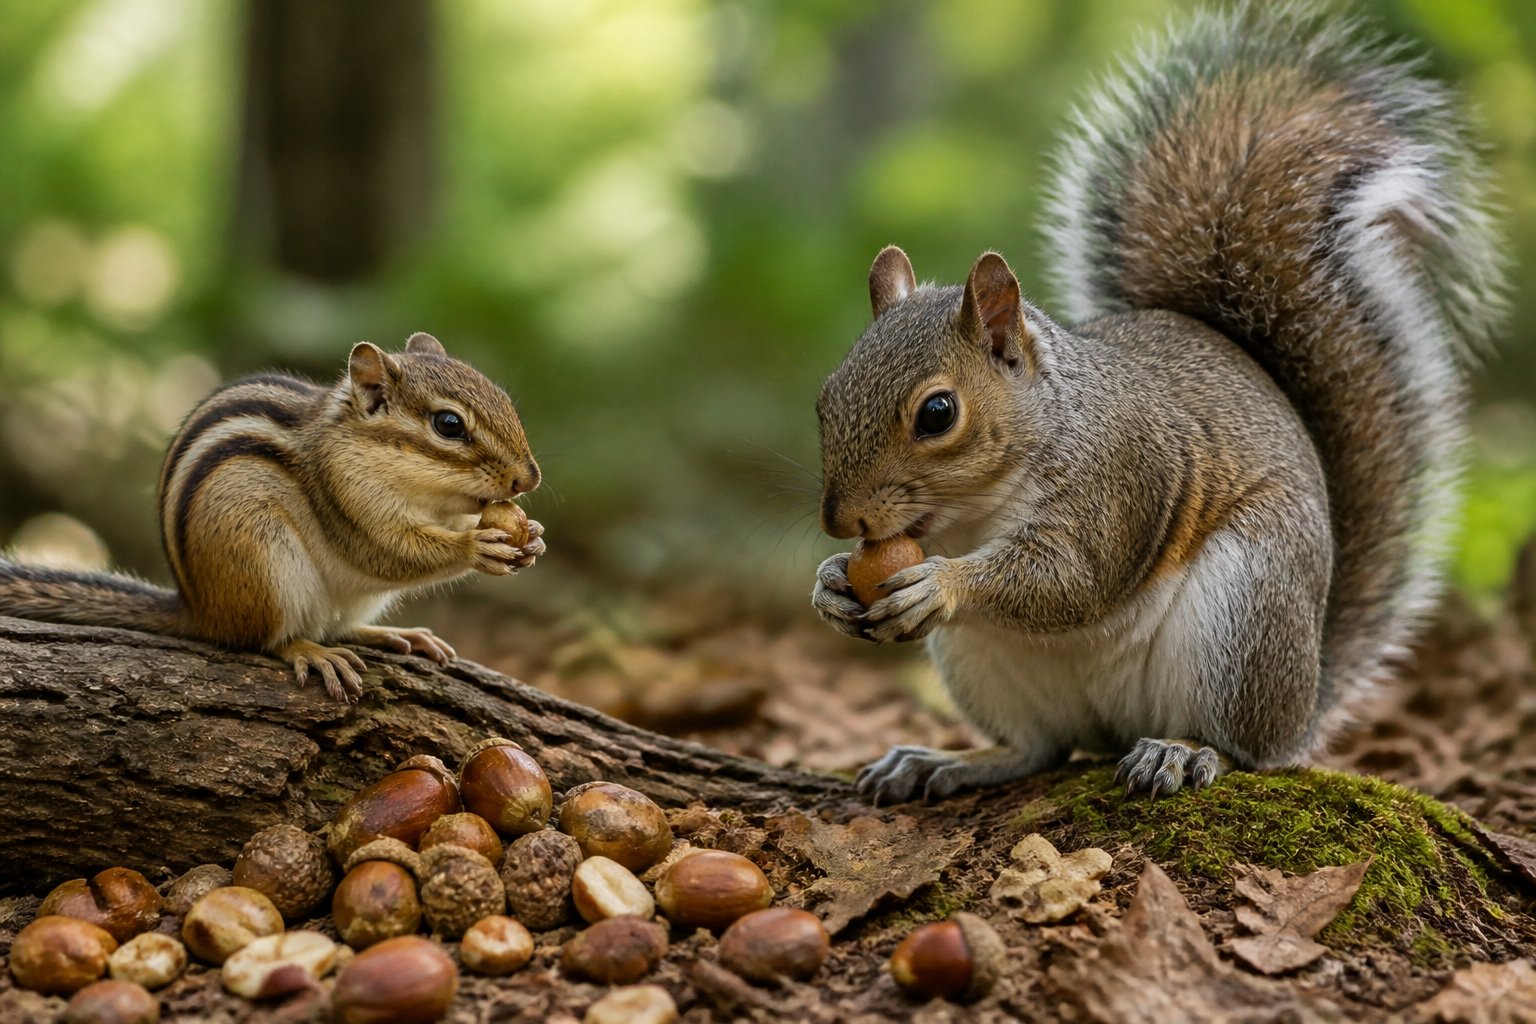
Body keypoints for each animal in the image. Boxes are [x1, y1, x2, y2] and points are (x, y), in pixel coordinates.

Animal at [0, 332, 545, 702]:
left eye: (505, 400)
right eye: (448, 424)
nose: (530, 479)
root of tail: (201, 609)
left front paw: (532, 538)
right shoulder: (345, 496)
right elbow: (388, 552)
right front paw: (476, 546)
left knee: (338, 625)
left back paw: (393, 634)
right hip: (264, 559)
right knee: (268, 639)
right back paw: (311, 652)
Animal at [812, 3, 1506, 802]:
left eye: (937, 414)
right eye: (825, 398)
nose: (841, 521)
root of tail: (1303, 700)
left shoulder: (1120, 476)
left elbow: (1071, 579)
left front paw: (946, 583)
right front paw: (829, 585)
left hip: (1242, 613)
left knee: (1245, 748)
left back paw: (1184, 751)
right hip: (983, 665)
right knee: (1037, 748)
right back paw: (946, 761)